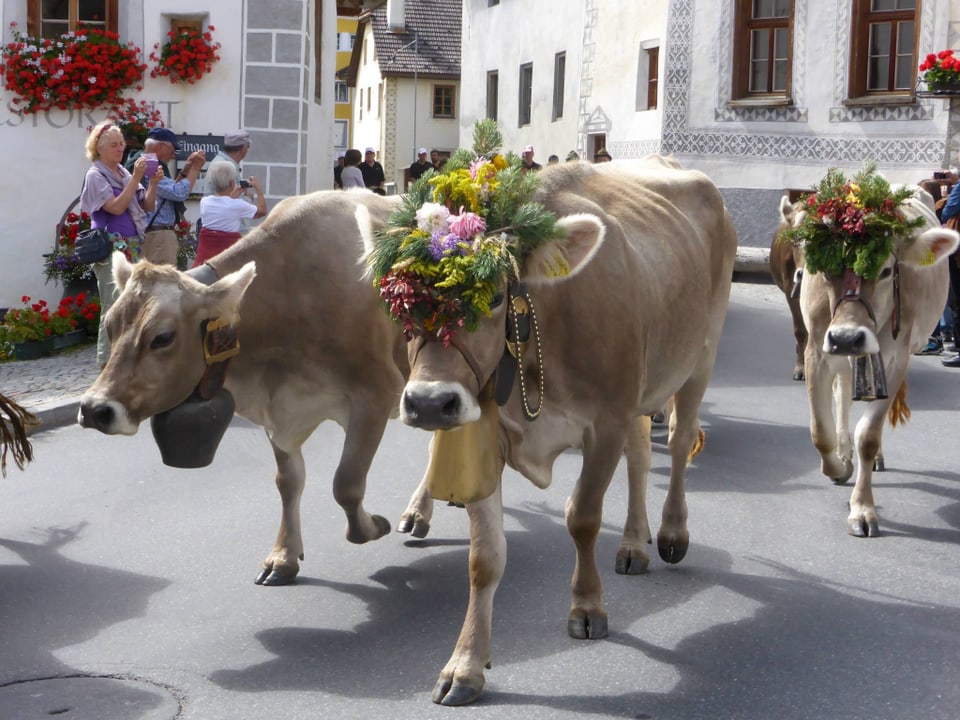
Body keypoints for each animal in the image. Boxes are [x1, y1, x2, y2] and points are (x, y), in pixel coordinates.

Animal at [76, 191, 404, 584]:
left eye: (162, 338)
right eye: (109, 324)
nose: (94, 408)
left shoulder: (377, 393)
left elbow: (347, 484)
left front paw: (373, 526)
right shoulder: (278, 410)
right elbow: (288, 481)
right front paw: (283, 556)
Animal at [366, 118, 736, 704]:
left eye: (495, 296)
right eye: (400, 301)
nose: (428, 402)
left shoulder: (604, 421)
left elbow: (581, 516)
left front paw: (587, 607)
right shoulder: (483, 433)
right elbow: (484, 557)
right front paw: (465, 663)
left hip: (702, 350)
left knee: (678, 443)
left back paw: (671, 532)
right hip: (645, 378)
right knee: (640, 456)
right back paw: (633, 544)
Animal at [784, 163, 956, 536]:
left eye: (887, 270)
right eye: (826, 266)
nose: (847, 338)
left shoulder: (895, 359)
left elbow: (868, 436)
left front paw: (862, 509)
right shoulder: (817, 349)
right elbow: (820, 431)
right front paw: (837, 466)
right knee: (843, 396)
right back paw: (843, 451)